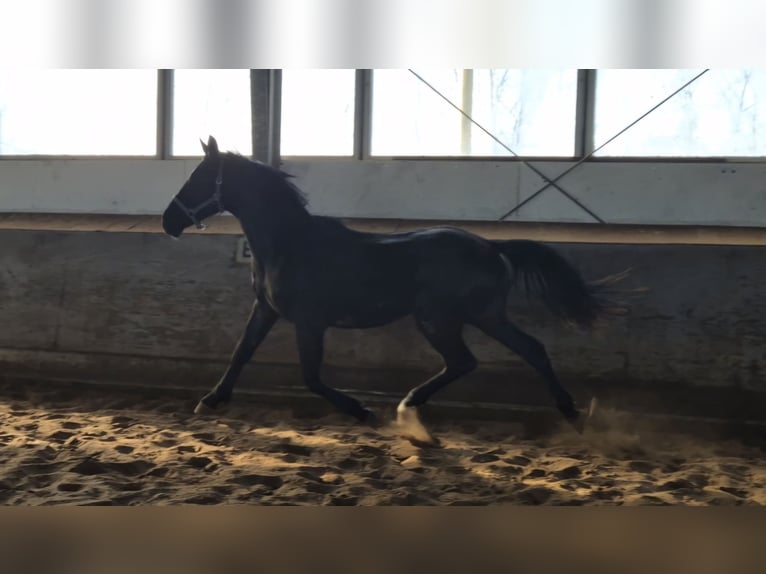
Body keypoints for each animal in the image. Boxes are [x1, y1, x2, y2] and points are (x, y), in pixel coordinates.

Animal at [161, 136, 625, 446]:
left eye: (199, 179)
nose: (168, 222)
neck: (288, 243)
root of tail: (492, 247)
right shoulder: (266, 309)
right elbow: (241, 353)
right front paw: (210, 401)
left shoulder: (310, 321)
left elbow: (311, 376)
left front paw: (362, 411)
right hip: (483, 315)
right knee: (528, 350)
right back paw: (571, 414)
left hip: (440, 318)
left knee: (467, 360)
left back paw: (408, 408)